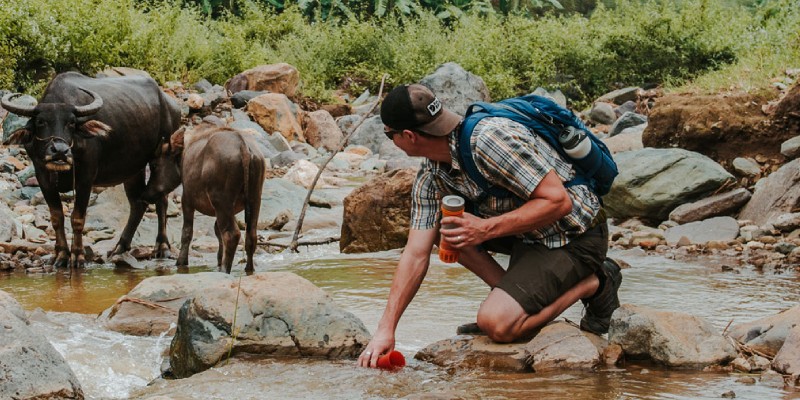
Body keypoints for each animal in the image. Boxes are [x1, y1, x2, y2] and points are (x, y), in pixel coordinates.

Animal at [2, 71, 180, 268]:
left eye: (71, 123)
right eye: (41, 122)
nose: (60, 151)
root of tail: (169, 104)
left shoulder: (86, 179)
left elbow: (78, 218)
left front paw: (78, 256)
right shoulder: (43, 177)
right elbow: (57, 217)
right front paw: (60, 255)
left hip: (161, 157)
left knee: (161, 200)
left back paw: (161, 247)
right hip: (133, 170)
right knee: (138, 204)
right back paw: (120, 247)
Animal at [146, 122, 266, 272]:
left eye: (154, 165)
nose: (146, 193)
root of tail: (243, 146)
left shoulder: (187, 199)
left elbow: (187, 232)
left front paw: (181, 262)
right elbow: (217, 230)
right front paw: (219, 259)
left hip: (222, 202)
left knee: (232, 234)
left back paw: (225, 270)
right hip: (255, 199)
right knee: (251, 236)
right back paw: (248, 269)